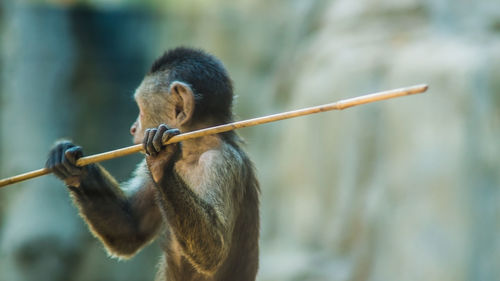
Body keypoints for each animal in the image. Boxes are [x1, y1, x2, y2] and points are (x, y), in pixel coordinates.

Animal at [46, 47, 262, 278]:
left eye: (141, 111)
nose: (133, 128)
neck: (194, 151)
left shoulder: (220, 162)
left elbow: (215, 250)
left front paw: (162, 162)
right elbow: (130, 230)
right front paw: (71, 166)